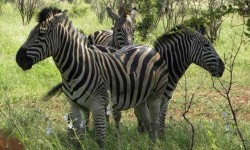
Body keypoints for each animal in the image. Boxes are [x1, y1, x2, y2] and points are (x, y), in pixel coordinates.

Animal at [15, 7, 168, 149]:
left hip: (156, 95)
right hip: (141, 99)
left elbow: (100, 138)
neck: (73, 71)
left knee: (154, 123)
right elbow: (79, 138)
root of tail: (148, 47)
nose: (18, 59)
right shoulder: (74, 105)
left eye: (41, 33)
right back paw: (150, 145)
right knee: (147, 122)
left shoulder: (98, 105)